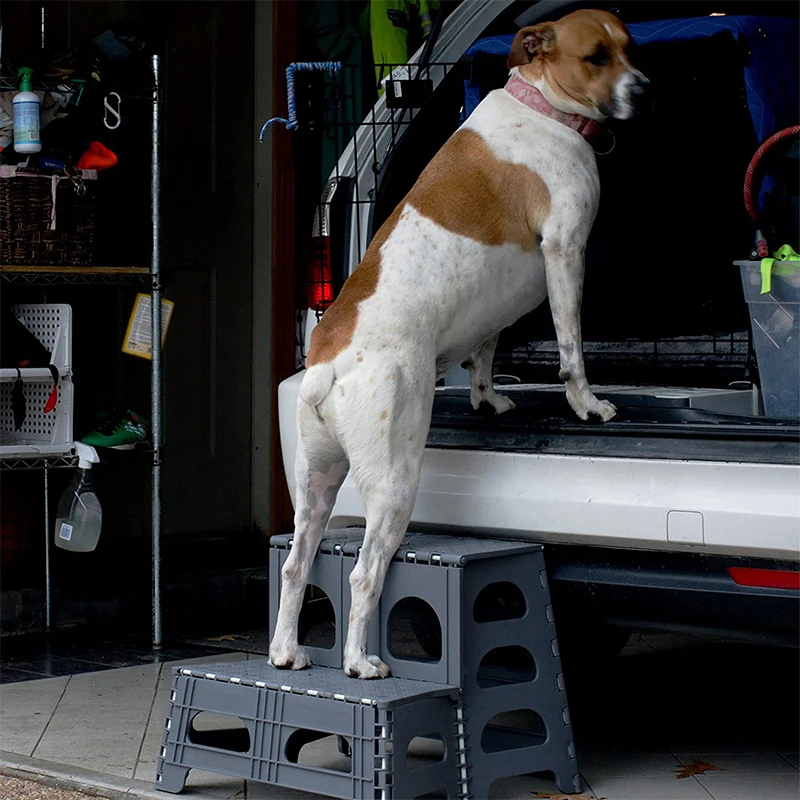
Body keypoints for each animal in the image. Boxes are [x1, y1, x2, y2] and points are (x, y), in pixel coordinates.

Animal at [268, 9, 648, 680]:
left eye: (629, 48)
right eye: (596, 57)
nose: (644, 89)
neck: (543, 106)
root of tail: (326, 368)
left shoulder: (495, 304)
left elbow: (486, 352)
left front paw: (486, 401)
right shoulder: (564, 251)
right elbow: (571, 347)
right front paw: (587, 404)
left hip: (316, 485)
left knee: (295, 564)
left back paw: (287, 650)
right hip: (394, 482)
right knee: (363, 574)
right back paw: (360, 661)